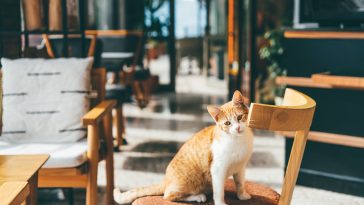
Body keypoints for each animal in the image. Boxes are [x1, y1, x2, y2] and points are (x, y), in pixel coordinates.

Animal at [114, 90, 253, 204]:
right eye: (228, 123)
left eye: (240, 117)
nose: (238, 128)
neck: (237, 140)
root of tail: (166, 179)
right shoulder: (217, 170)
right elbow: (219, 191)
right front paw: (220, 203)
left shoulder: (241, 167)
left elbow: (240, 183)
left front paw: (242, 195)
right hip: (189, 182)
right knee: (168, 195)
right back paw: (198, 196)